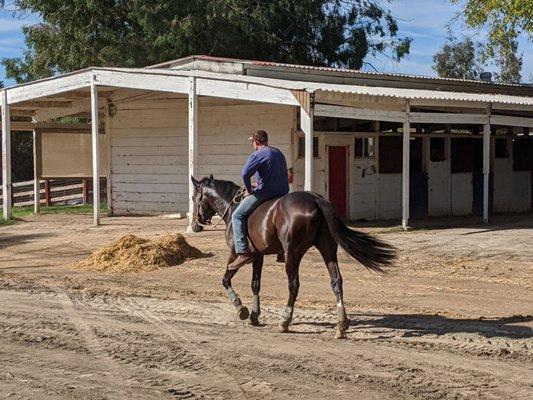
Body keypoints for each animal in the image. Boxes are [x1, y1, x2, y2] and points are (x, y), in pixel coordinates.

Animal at [190, 175, 394, 338]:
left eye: (194, 197)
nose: (195, 224)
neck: (233, 208)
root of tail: (316, 200)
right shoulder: (258, 256)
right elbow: (255, 284)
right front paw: (254, 315)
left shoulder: (236, 254)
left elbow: (225, 279)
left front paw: (241, 308)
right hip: (327, 249)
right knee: (336, 281)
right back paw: (341, 325)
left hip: (293, 253)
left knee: (293, 285)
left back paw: (285, 321)